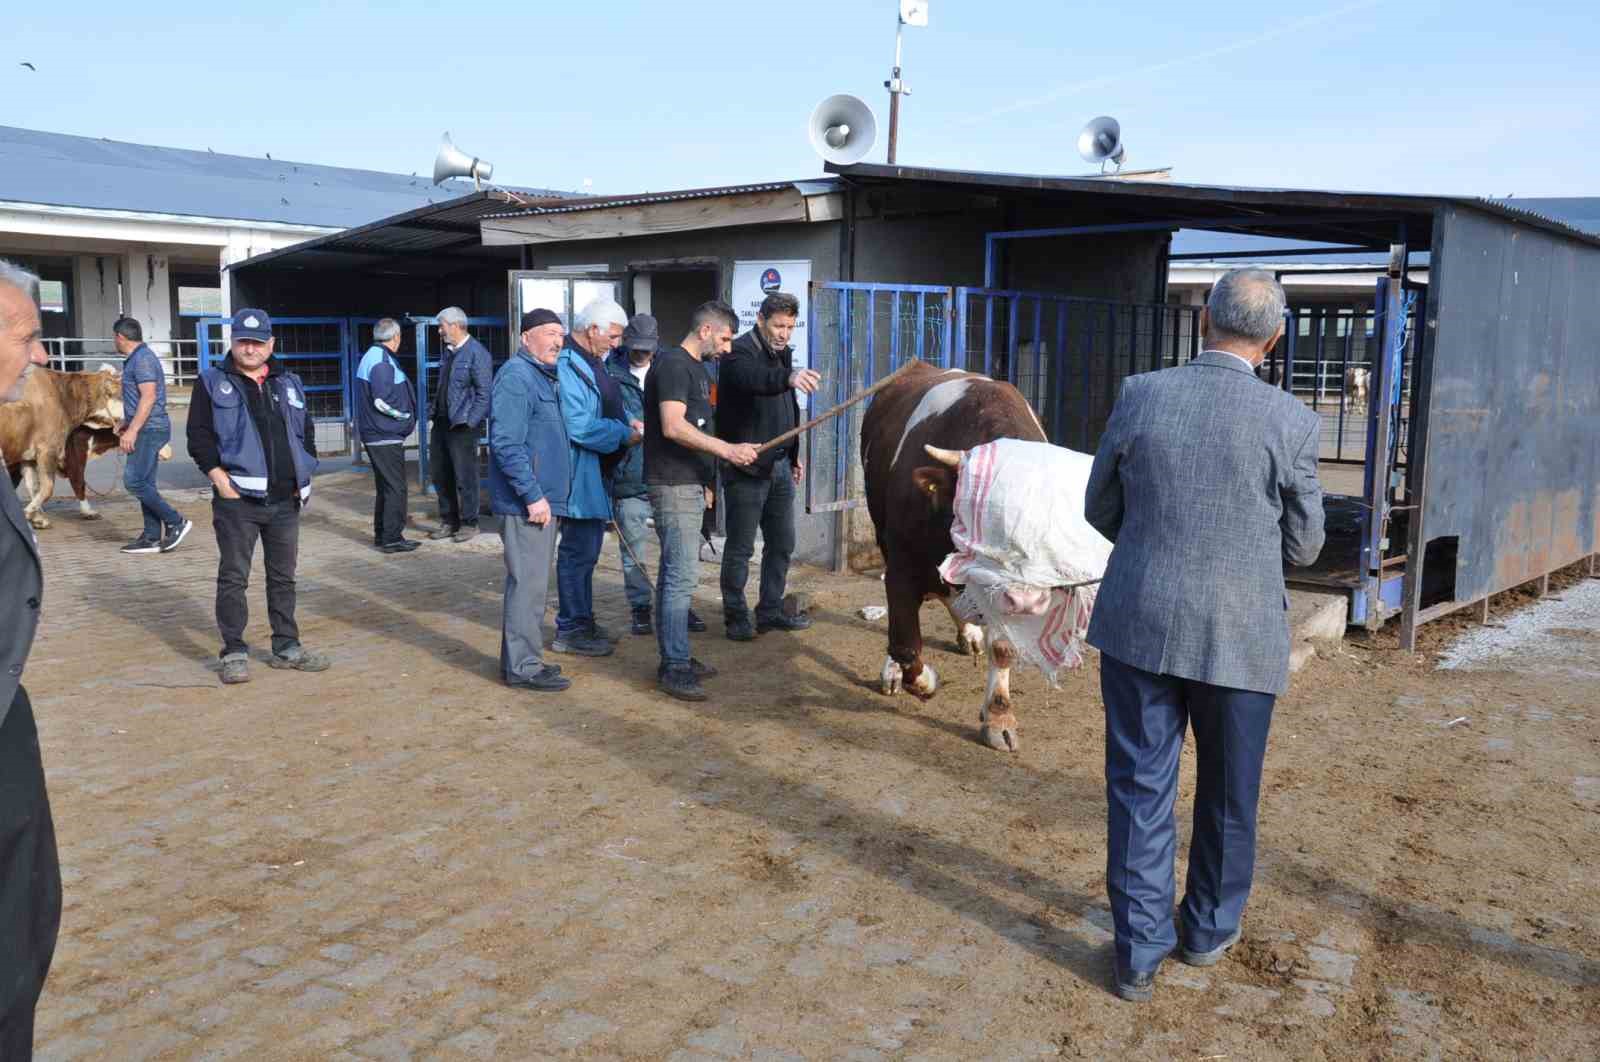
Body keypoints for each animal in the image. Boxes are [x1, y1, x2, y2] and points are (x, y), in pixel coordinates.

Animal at [0, 367, 125, 527]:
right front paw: (28, 513)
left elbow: (33, 486)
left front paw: (38, 517)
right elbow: (51, 487)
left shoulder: (27, 454)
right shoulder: (51, 449)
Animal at [864, 361, 1049, 751]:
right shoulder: (902, 566)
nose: (1026, 598)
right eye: (983, 511)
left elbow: (1004, 648)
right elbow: (904, 644)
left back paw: (970, 633)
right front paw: (922, 680)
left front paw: (999, 717)